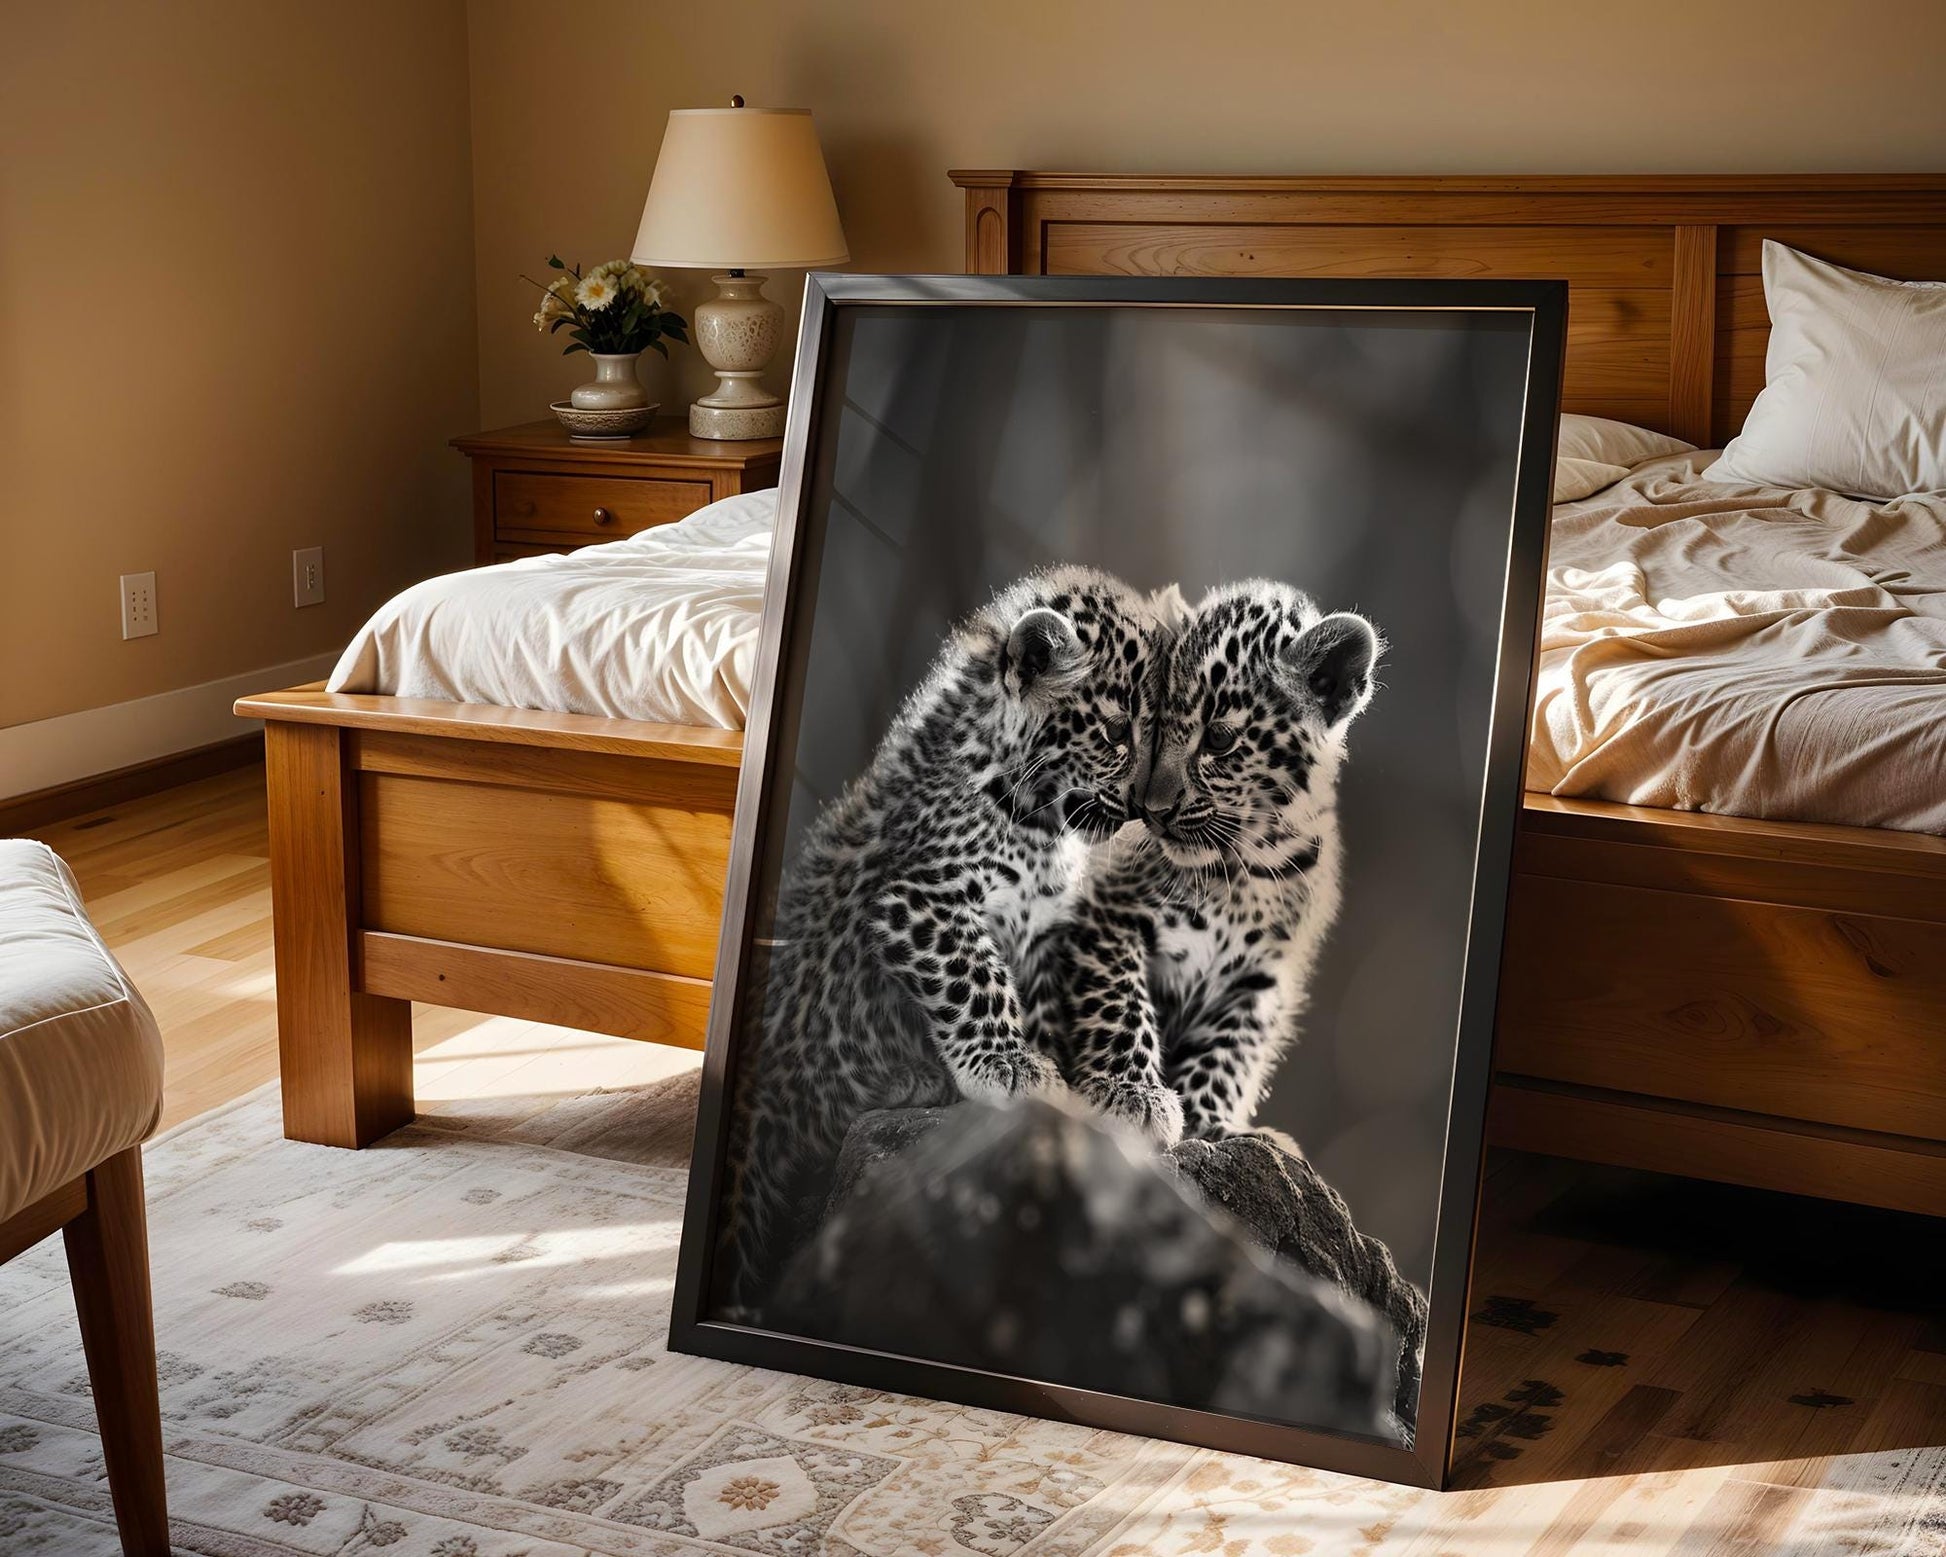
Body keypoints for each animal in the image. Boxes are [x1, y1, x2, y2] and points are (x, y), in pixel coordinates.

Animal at [715, 565, 1180, 1312]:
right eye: (1113, 733)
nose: (1145, 808)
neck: (1037, 823)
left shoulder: (1054, 930)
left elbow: (1111, 1004)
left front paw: (1125, 1089)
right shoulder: (919, 902)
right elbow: (977, 978)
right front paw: (1009, 1066)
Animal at [1037, 579, 1382, 1146]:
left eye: (1219, 739)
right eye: (1150, 730)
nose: (1153, 810)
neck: (1246, 866)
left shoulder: (1263, 977)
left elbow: (1230, 1050)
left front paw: (1210, 1122)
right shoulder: (1104, 918)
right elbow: (1120, 1004)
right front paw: (1133, 1094)